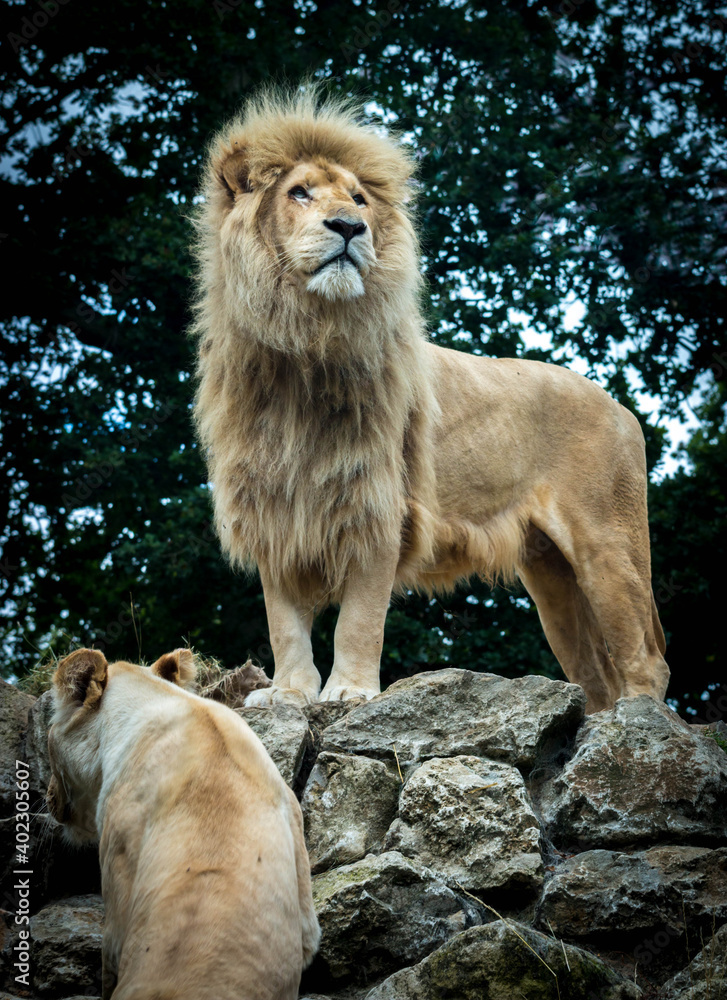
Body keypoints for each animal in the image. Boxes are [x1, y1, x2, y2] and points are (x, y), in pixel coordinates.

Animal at [192, 88, 669, 714]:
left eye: (360, 199)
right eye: (299, 192)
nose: (350, 227)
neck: (303, 348)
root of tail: (619, 407)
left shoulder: (378, 507)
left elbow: (359, 618)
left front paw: (349, 691)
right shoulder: (276, 512)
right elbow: (285, 623)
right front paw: (290, 694)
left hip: (607, 547)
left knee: (646, 659)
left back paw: (636, 722)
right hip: (551, 578)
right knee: (593, 673)